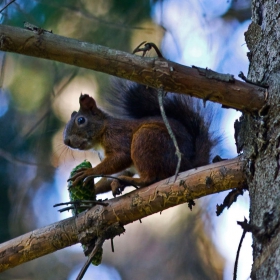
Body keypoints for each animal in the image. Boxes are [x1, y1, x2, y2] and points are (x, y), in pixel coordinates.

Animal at [64, 79, 219, 197]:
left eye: (81, 120)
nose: (66, 141)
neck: (102, 132)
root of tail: (189, 164)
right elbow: (112, 175)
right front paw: (92, 190)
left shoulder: (118, 136)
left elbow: (122, 156)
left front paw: (88, 172)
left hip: (145, 138)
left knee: (150, 178)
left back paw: (130, 181)